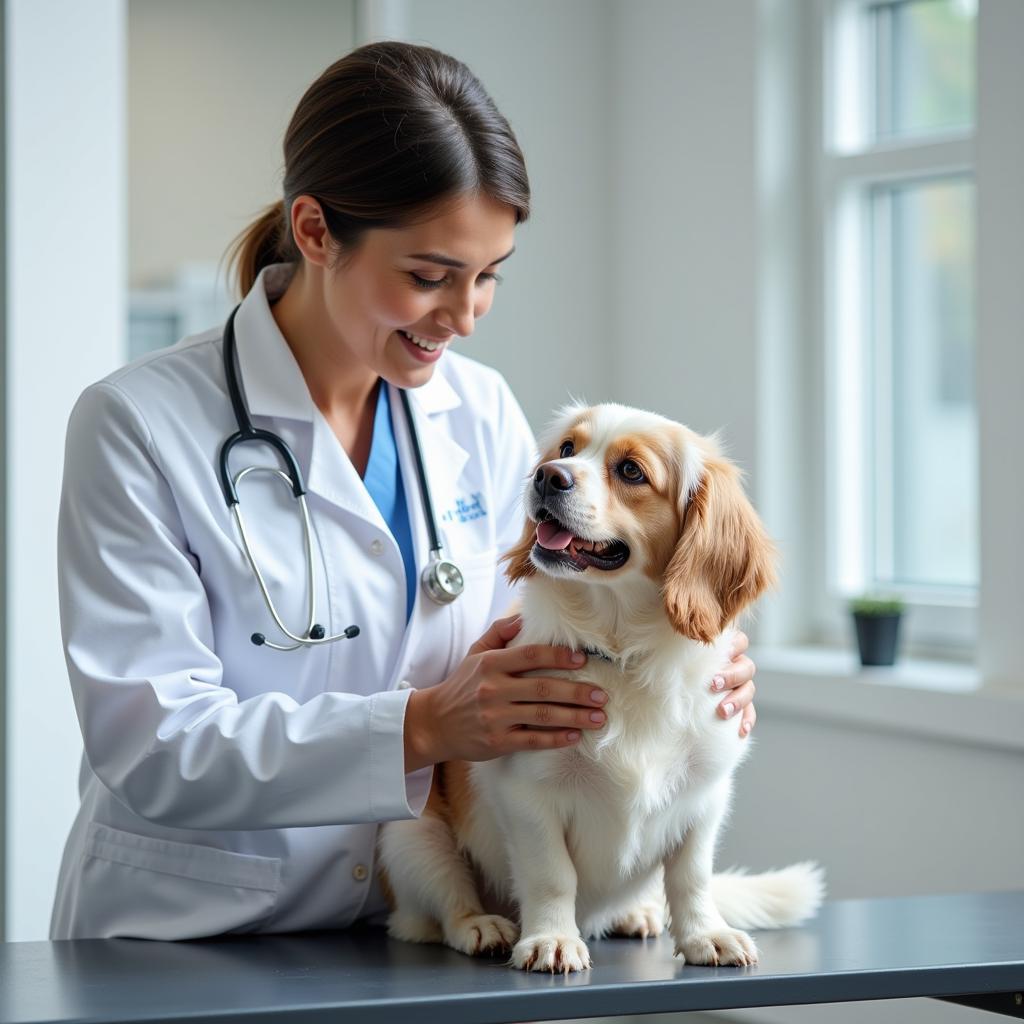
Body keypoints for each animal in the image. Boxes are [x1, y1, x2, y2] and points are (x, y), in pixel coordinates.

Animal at [380, 397, 827, 966]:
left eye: (631, 471)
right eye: (568, 448)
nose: (548, 476)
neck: (621, 655)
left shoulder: (705, 797)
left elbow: (691, 877)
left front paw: (705, 934)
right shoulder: (530, 796)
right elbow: (552, 876)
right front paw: (551, 939)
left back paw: (637, 914)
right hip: (409, 833)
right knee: (430, 912)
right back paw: (480, 925)